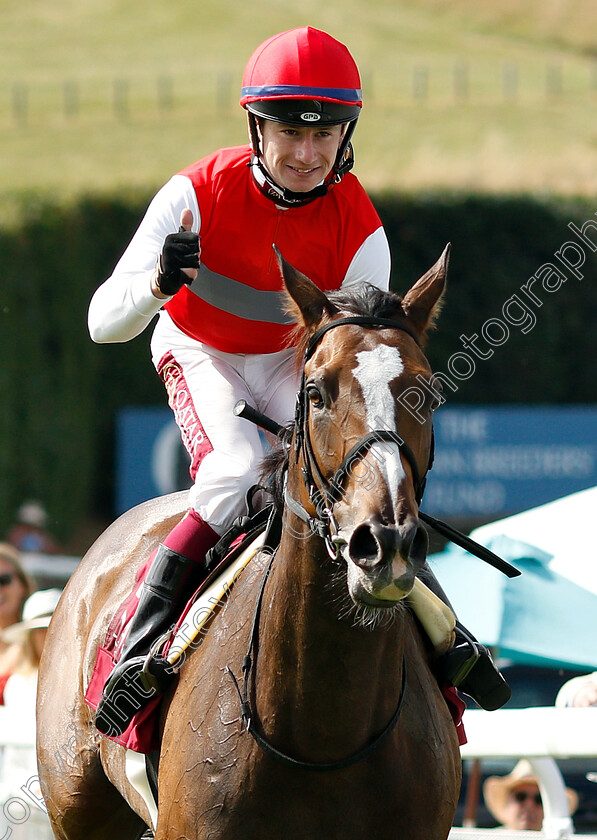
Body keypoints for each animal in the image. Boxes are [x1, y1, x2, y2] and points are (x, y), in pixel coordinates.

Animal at [37, 244, 458, 840]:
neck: (325, 730)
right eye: (315, 392)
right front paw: (170, 264)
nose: (384, 543)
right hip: (77, 808)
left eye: (427, 393)